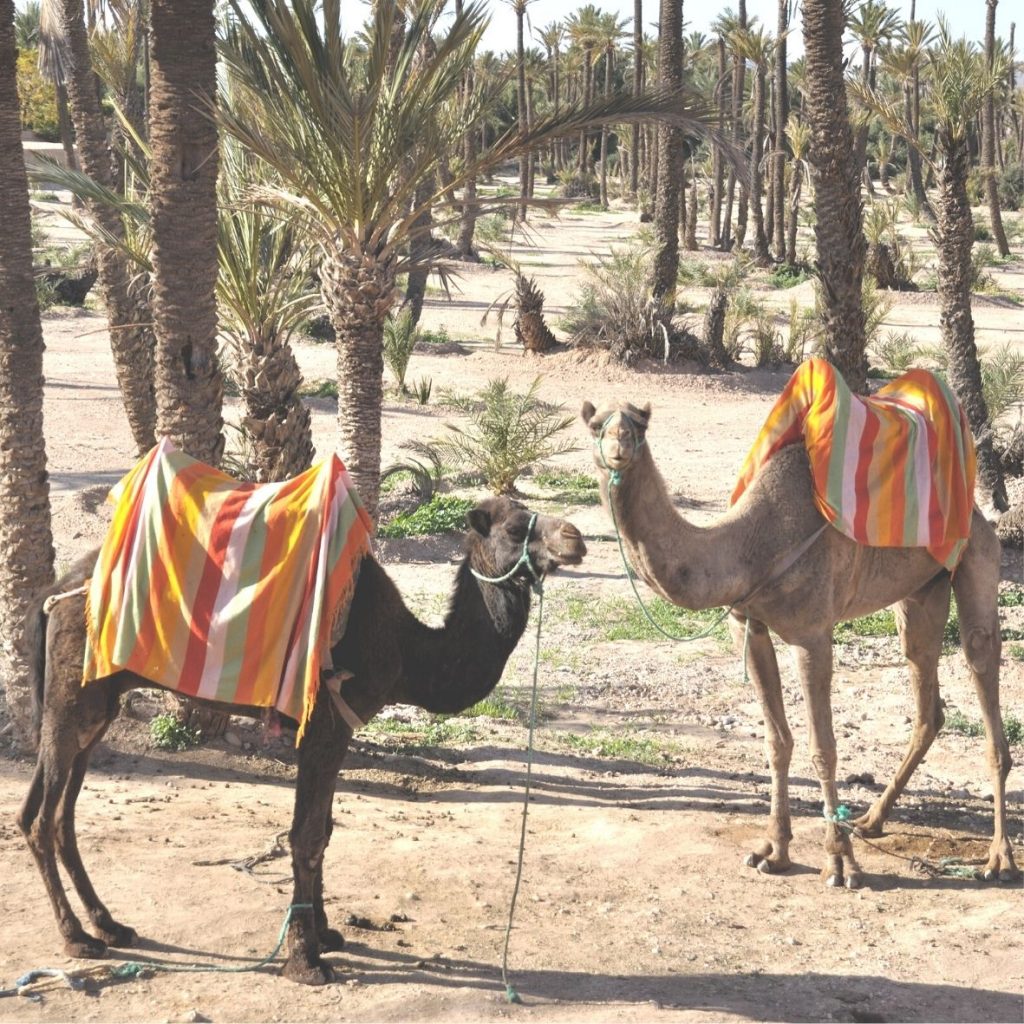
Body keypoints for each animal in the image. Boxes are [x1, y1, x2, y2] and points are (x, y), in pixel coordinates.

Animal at [18, 495, 585, 983]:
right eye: (515, 528)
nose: (575, 538)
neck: (406, 647)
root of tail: (54, 592)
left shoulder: (336, 732)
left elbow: (324, 830)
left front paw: (325, 933)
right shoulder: (325, 727)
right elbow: (307, 836)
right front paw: (305, 960)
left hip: (96, 707)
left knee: (57, 813)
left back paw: (109, 924)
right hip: (73, 697)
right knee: (43, 818)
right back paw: (76, 937)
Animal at [581, 399, 1019, 888]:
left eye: (639, 425)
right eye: (595, 424)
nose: (619, 445)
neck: (750, 547)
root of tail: (979, 510)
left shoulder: (811, 633)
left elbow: (823, 748)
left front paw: (841, 863)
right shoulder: (748, 626)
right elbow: (777, 740)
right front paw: (773, 850)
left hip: (977, 556)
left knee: (981, 667)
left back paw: (999, 857)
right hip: (920, 591)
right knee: (927, 697)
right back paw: (872, 819)